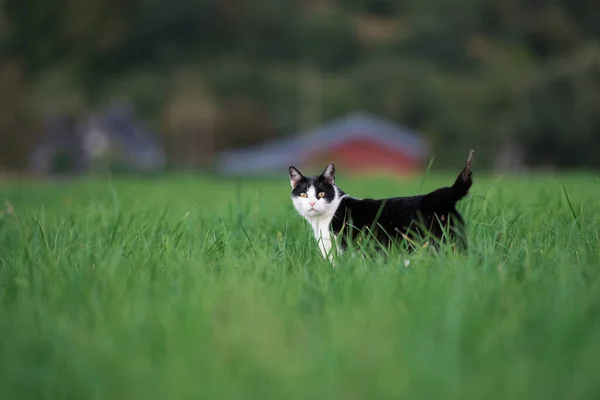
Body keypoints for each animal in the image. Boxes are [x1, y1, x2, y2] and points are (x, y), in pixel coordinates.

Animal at [288, 150, 476, 262]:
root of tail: (435, 197)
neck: (324, 220)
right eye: (304, 194)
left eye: (321, 194)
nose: (312, 203)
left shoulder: (341, 250)